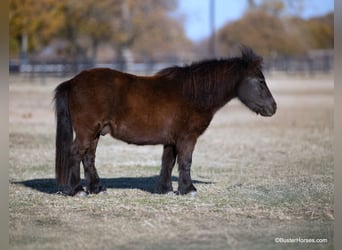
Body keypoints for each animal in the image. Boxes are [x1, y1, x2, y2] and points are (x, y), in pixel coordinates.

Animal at [54, 46, 278, 195]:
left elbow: (168, 162)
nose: (273, 108)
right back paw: (77, 190)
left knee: (88, 157)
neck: (192, 94)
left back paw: (97, 188)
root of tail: (73, 81)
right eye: (260, 81)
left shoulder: (171, 140)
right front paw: (188, 189)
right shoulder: (187, 138)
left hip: (94, 133)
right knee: (76, 153)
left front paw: (165, 189)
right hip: (87, 131)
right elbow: (185, 161)